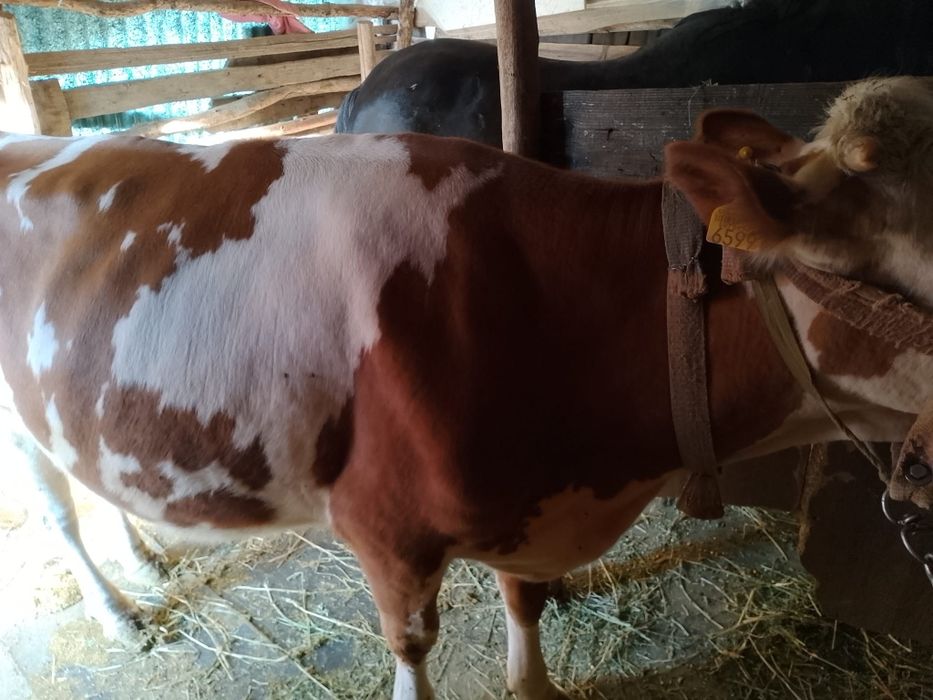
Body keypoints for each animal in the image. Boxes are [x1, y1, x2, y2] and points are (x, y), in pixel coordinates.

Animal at [2, 76, 933, 700]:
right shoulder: (383, 527)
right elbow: (412, 646)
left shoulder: (520, 510)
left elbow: (523, 601)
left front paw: (537, 684)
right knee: (55, 513)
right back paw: (118, 609)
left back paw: (145, 555)